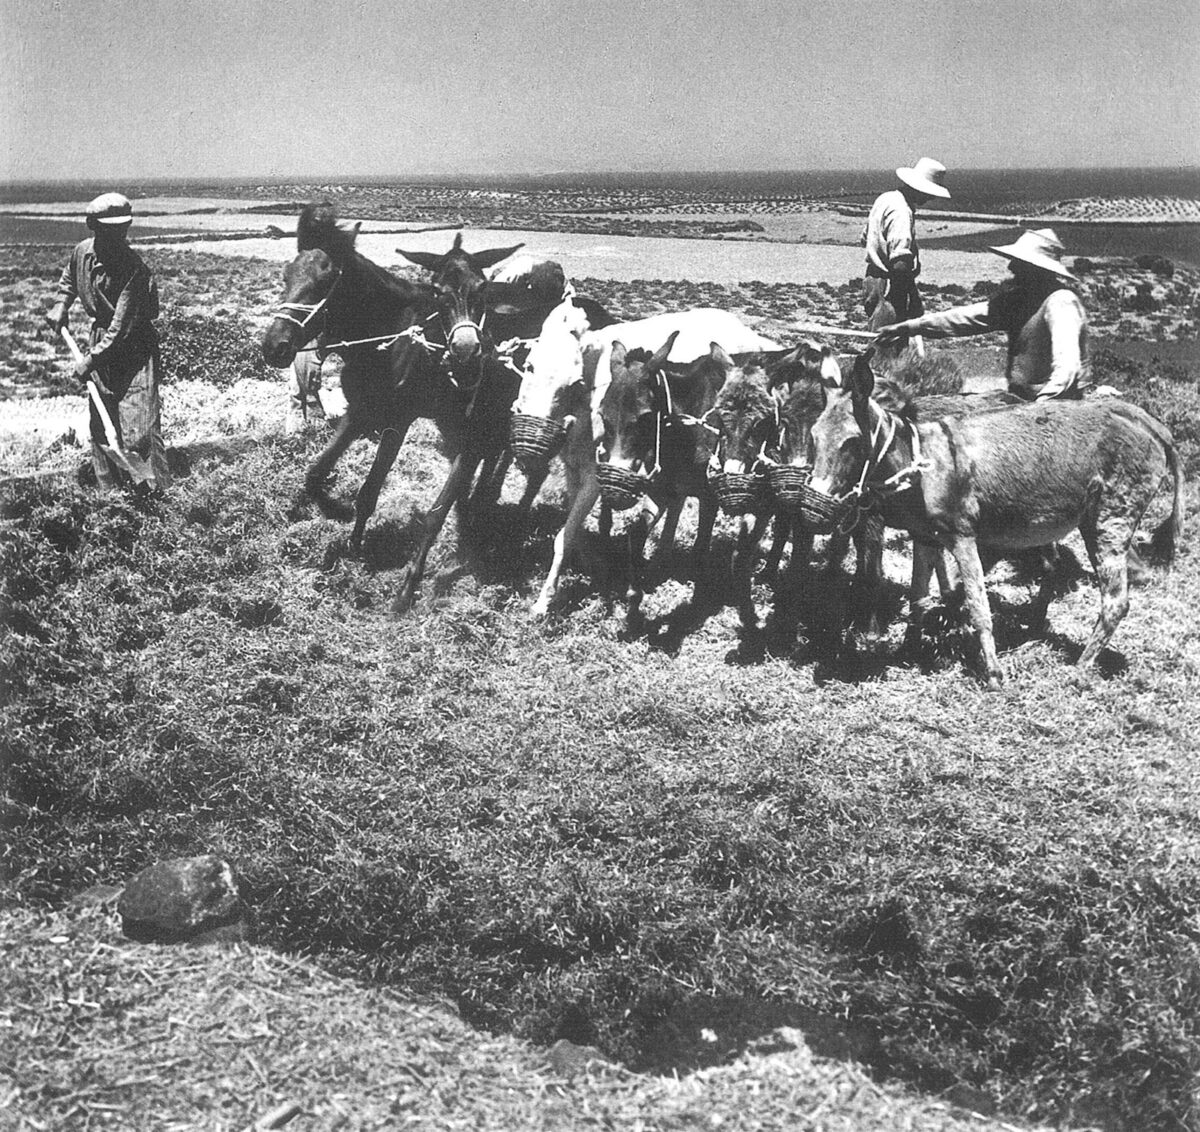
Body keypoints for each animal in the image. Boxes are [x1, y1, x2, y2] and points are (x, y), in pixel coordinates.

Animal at [806, 350, 1185, 688]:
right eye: (813, 436)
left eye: (852, 442)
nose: (815, 502)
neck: (919, 460)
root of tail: (1151, 424)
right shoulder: (925, 538)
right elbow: (918, 597)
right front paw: (910, 648)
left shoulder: (963, 537)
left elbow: (978, 604)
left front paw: (992, 674)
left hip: (1108, 523)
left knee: (1115, 601)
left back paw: (1079, 670)